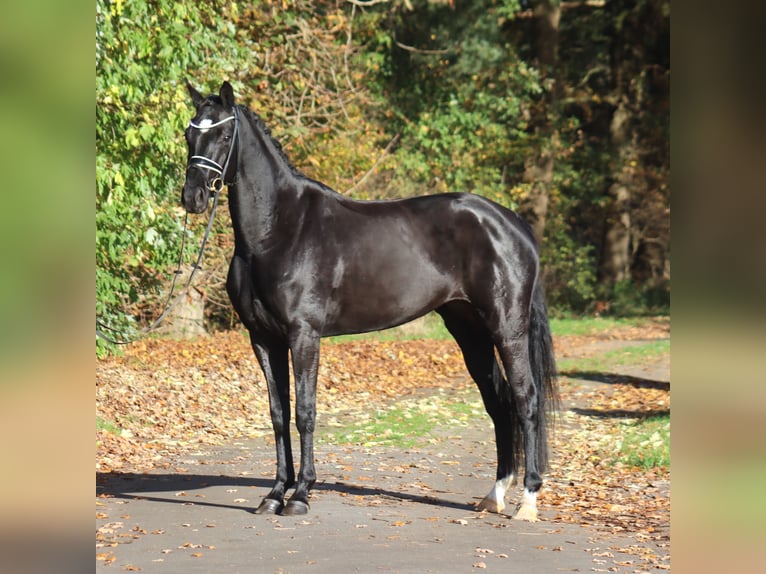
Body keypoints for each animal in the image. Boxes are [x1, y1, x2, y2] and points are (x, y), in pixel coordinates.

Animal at [184, 81, 560, 520]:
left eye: (225, 135)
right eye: (190, 133)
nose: (192, 197)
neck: (277, 231)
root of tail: (511, 222)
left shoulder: (303, 335)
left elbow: (305, 413)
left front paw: (301, 495)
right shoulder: (263, 338)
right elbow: (278, 415)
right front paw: (275, 493)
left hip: (507, 328)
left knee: (526, 400)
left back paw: (527, 501)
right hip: (470, 332)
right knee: (499, 403)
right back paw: (495, 494)